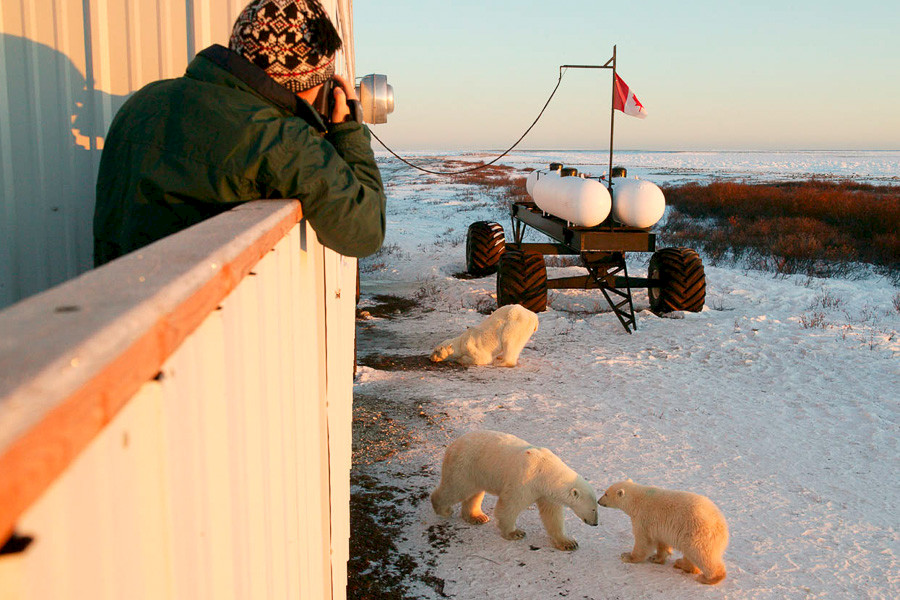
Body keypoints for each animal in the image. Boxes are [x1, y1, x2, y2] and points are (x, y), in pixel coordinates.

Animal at [428, 428, 596, 552]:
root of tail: (452, 445)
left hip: (476, 472)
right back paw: (444, 509)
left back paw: (477, 517)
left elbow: (552, 515)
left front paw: (569, 543)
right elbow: (510, 505)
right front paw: (515, 533)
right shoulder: (525, 480)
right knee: (456, 488)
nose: (595, 523)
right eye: (594, 509)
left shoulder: (545, 492)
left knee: (474, 493)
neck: (545, 471)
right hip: (465, 466)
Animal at [596, 480, 732, 584]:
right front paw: (656, 558)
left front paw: (627, 556)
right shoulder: (659, 526)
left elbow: (643, 540)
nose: (598, 501)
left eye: (606, 493)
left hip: (697, 533)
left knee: (701, 554)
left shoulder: (643, 518)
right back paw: (681, 564)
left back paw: (709, 578)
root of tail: (722, 528)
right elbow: (661, 542)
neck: (637, 499)